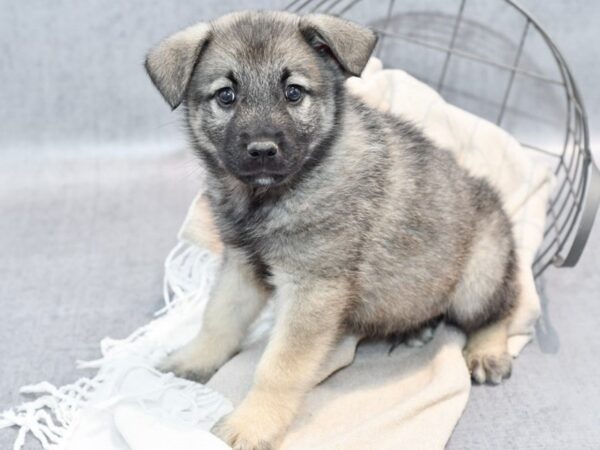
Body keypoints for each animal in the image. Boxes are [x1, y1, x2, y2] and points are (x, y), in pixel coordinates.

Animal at [146, 11, 520, 450]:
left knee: (501, 309)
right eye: (226, 96)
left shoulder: (312, 290)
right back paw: (416, 328)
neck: (274, 196)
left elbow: (278, 368)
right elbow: (218, 320)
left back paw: (486, 351)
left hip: (480, 274)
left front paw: (252, 423)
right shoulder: (242, 267)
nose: (262, 150)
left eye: (293, 92)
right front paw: (194, 360)